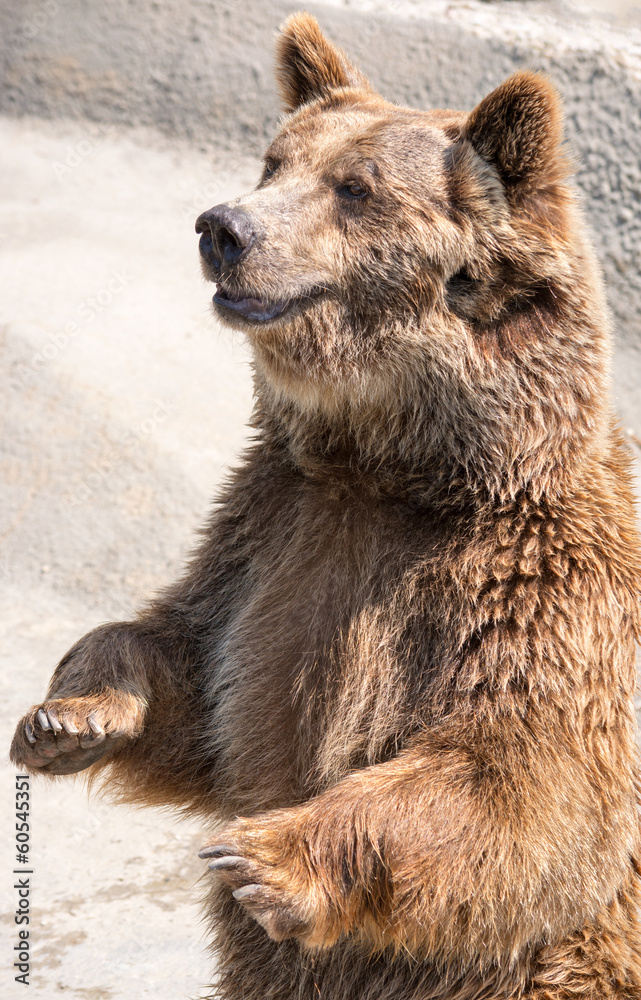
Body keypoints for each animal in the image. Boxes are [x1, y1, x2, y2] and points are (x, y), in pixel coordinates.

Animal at [10, 11, 641, 999]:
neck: (393, 470)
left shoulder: (533, 585)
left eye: (355, 188)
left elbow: (522, 779)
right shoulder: (271, 536)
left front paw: (262, 859)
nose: (222, 226)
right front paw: (68, 713)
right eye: (274, 162)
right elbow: (197, 668)